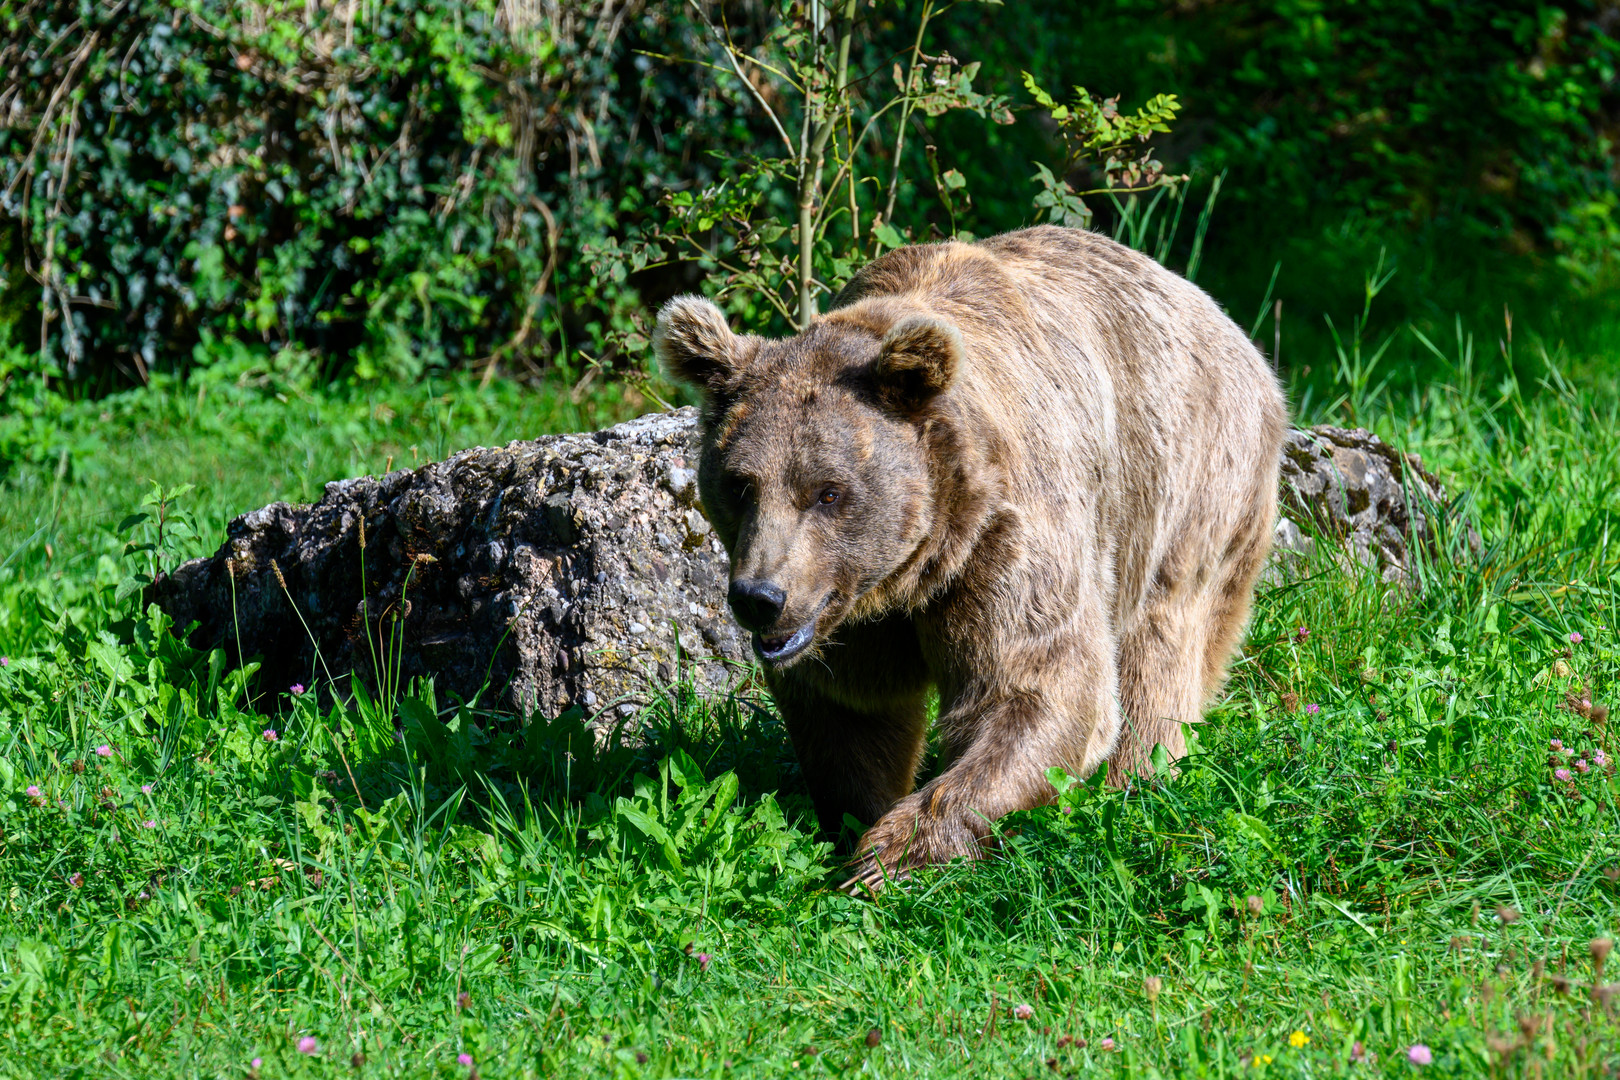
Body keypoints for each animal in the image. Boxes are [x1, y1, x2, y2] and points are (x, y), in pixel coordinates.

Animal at [651, 221, 1283, 887]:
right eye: (739, 484)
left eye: (828, 491)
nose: (760, 598)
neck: (912, 570)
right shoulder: (852, 612)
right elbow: (852, 714)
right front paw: (854, 821)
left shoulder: (1003, 538)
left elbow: (1036, 688)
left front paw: (888, 854)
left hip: (1189, 480)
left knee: (1158, 647)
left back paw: (1134, 781)